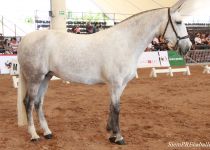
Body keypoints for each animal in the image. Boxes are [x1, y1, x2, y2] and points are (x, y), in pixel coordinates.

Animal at [17, 0, 192, 145]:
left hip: (46, 77)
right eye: (178, 22)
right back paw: (34, 135)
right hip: (35, 78)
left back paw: (47, 132)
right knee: (28, 102)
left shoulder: (120, 85)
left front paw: (112, 134)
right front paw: (119, 137)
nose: (188, 46)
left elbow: (111, 107)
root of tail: (24, 39)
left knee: (38, 103)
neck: (125, 42)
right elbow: (117, 109)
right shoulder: (115, 83)